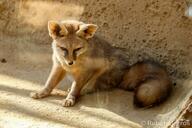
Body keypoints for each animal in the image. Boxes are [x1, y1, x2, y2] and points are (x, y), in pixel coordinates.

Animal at [30, 20, 172, 107]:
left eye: (77, 49)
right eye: (64, 49)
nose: (70, 62)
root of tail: (125, 70)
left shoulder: (85, 71)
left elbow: (76, 87)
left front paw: (71, 98)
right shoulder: (59, 66)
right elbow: (50, 83)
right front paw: (42, 92)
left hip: (101, 72)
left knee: (91, 87)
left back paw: (83, 90)